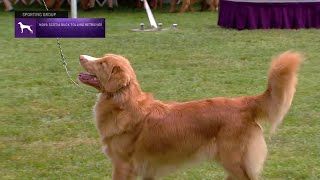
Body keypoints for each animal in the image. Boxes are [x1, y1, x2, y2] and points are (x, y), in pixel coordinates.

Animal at [78, 51, 302, 179]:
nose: (81, 56)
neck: (122, 104)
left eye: (102, 63)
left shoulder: (123, 165)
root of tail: (243, 102)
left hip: (234, 159)